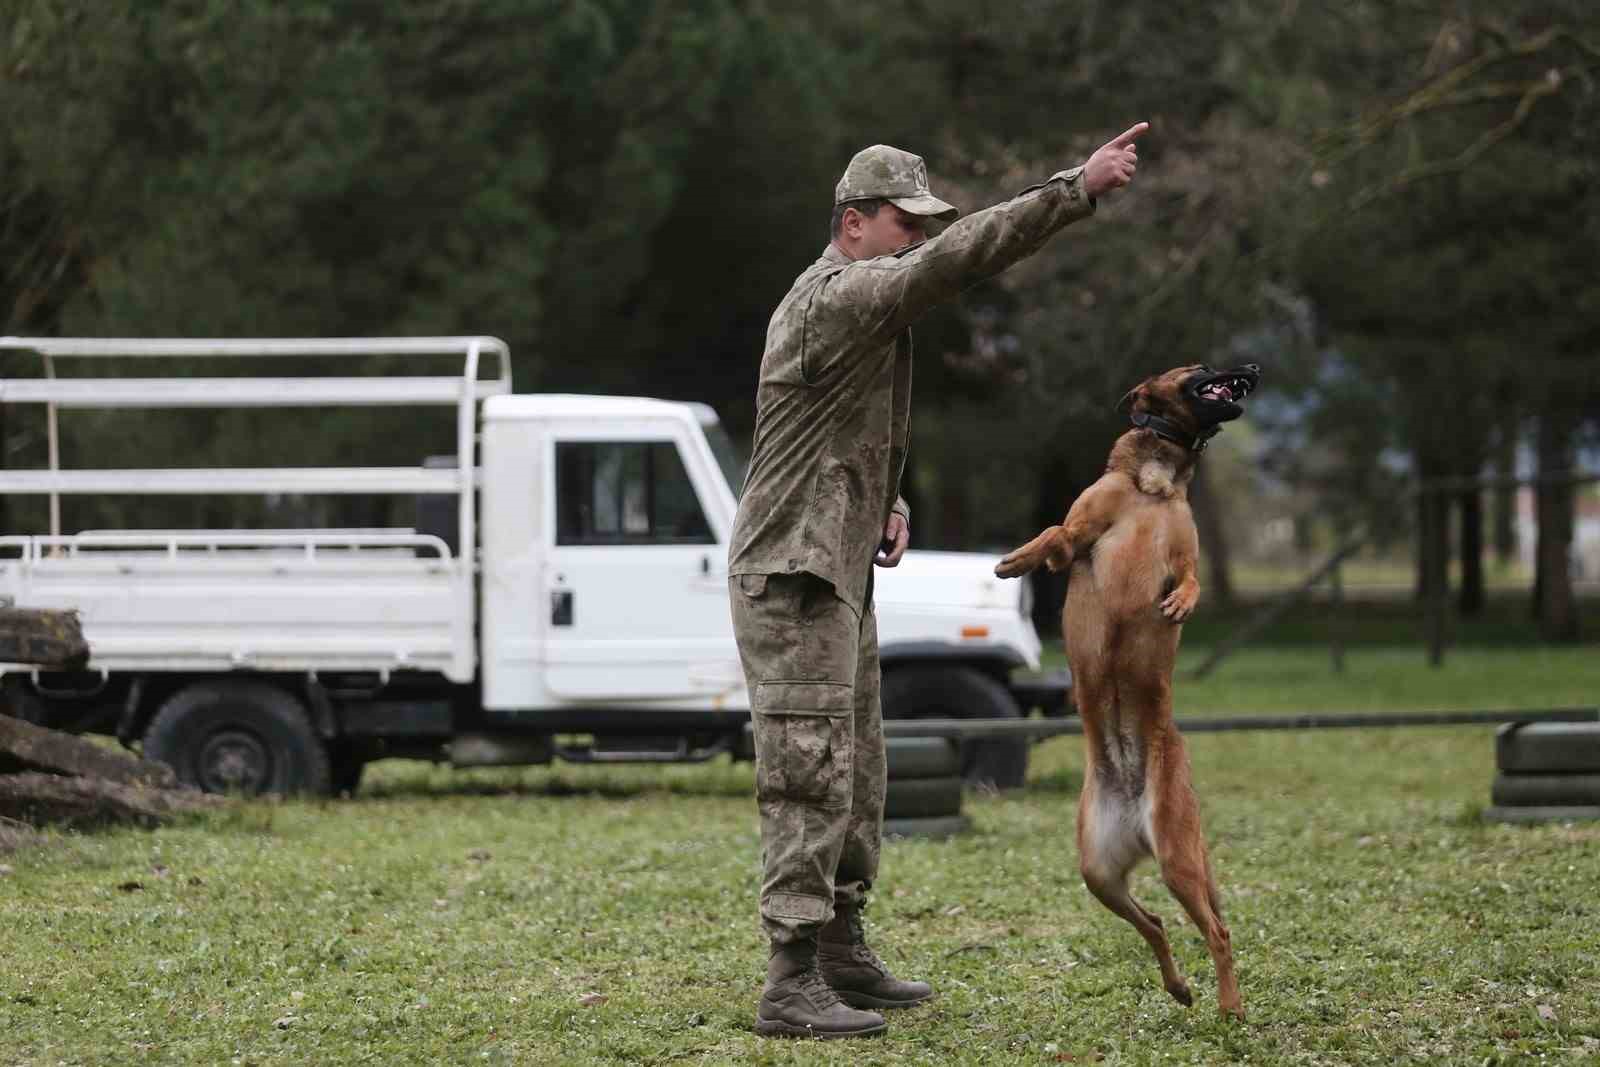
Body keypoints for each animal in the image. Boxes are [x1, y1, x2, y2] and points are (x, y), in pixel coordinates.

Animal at [992, 364, 1254, 1017]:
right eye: (1200, 368)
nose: (1253, 369)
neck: (1153, 487)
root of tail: (1137, 815)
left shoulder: (1185, 553)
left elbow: (1191, 578)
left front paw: (1181, 603)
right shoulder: (1080, 528)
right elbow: (1054, 532)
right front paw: (1017, 561)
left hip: (1178, 859)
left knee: (1217, 930)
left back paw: (1229, 1005)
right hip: (1100, 872)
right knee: (1156, 924)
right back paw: (1180, 987)